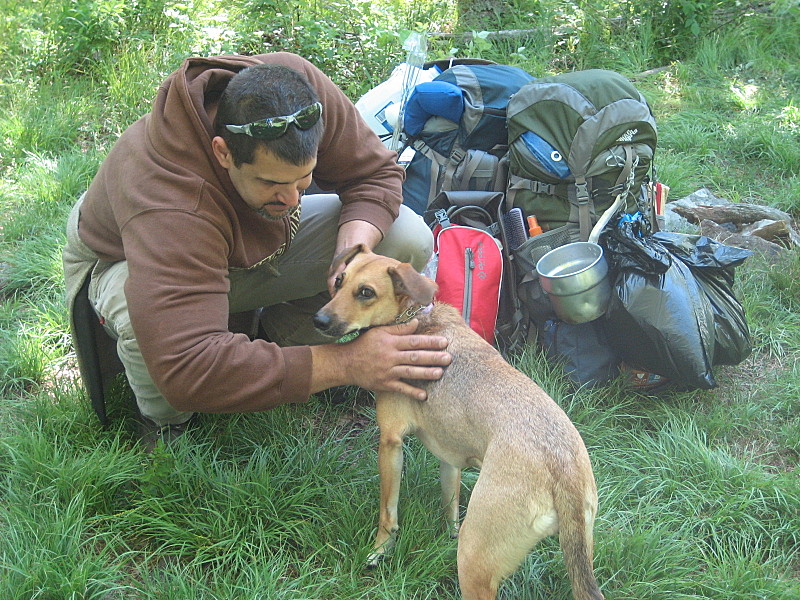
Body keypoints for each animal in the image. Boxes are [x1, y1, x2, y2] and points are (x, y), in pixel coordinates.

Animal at [312, 245, 600, 600]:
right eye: (339, 281)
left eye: (366, 292)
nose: (318, 320)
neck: (414, 317)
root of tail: (564, 469)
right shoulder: (449, 457)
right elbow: (449, 504)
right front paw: (446, 533)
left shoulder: (390, 442)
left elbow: (387, 512)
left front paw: (380, 550)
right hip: (580, 547)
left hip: (475, 558)